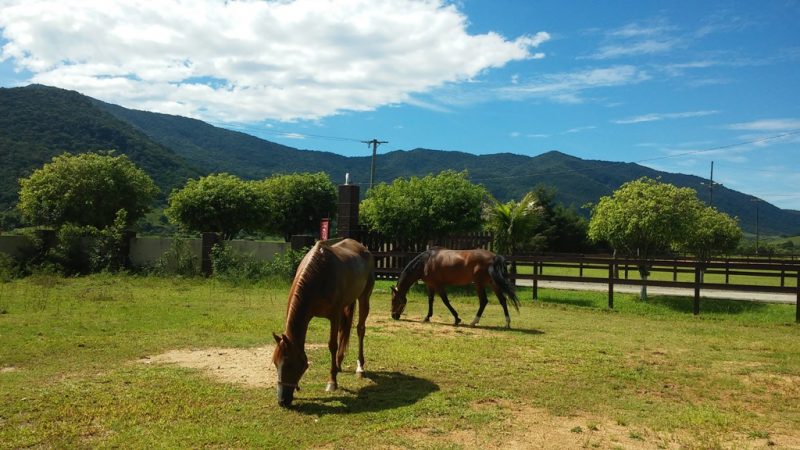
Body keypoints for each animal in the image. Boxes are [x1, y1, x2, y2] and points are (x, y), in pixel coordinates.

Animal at [272, 239, 376, 408]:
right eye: (275, 363)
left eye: (289, 365)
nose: (282, 401)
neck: (318, 275)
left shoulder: (334, 315)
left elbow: (332, 345)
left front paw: (332, 382)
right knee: (343, 330)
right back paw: (339, 364)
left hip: (364, 298)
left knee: (360, 329)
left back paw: (360, 368)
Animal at [392, 248, 520, 328]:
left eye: (393, 300)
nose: (394, 316)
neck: (426, 262)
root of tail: (494, 257)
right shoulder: (430, 285)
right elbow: (430, 300)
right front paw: (427, 317)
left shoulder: (438, 285)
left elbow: (445, 301)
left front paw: (457, 319)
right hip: (493, 283)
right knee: (502, 300)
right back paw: (507, 323)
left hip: (479, 284)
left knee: (484, 301)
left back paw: (473, 322)